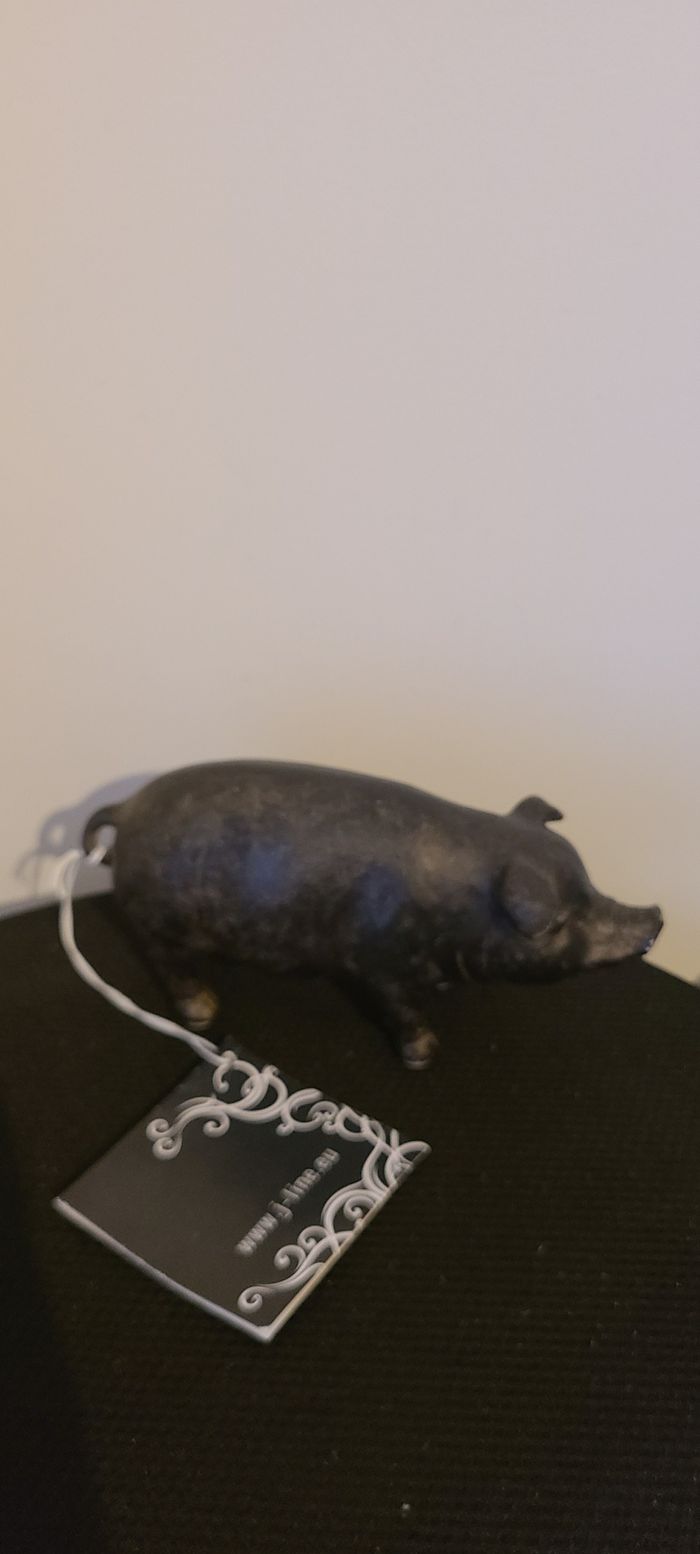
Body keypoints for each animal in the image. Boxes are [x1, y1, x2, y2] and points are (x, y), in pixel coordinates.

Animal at [83, 762, 663, 1069]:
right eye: (563, 920)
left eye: (590, 884)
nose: (656, 919)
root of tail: (126, 811)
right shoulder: (379, 964)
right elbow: (403, 1010)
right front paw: (423, 1057)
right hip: (155, 921)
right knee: (168, 963)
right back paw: (202, 1010)